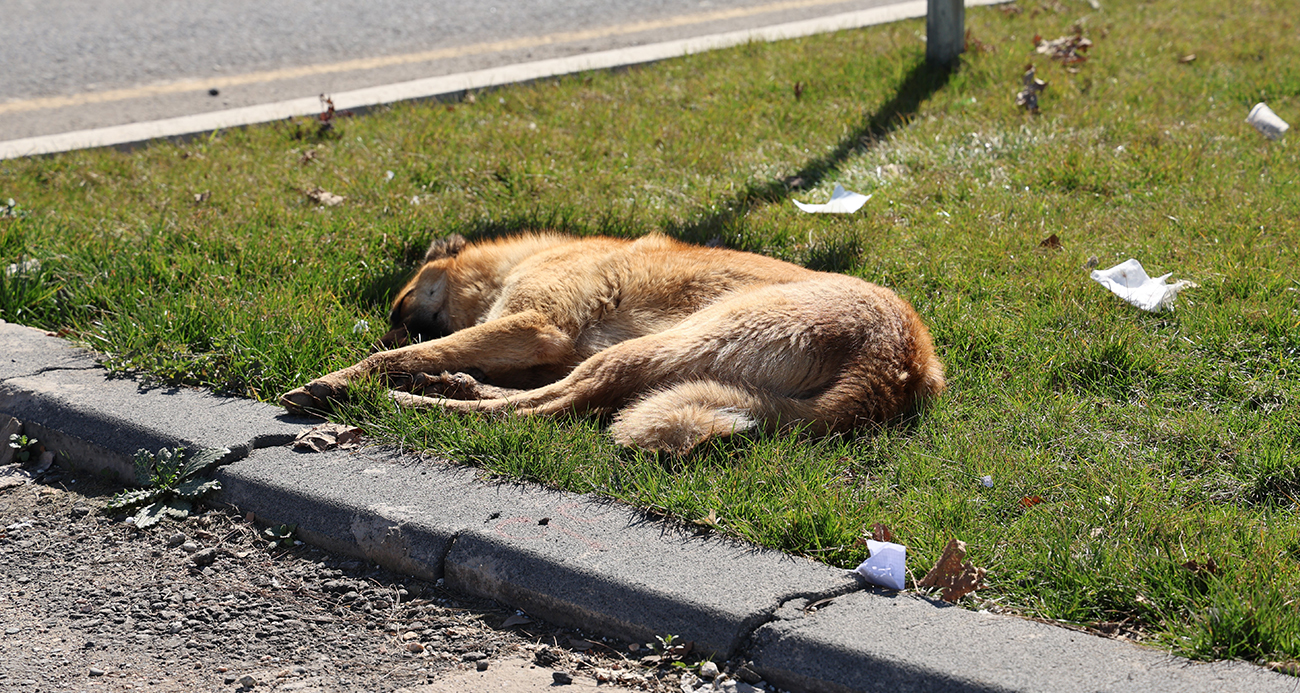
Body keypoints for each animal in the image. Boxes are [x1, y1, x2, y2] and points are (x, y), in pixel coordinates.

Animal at [279, 234, 941, 455]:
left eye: (398, 306)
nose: (382, 324)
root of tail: (900, 361)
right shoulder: (535, 345)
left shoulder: (532, 326)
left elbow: (395, 356)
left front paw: (340, 380)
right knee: (557, 402)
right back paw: (452, 388)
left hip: (668, 343)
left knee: (545, 410)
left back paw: (409, 402)